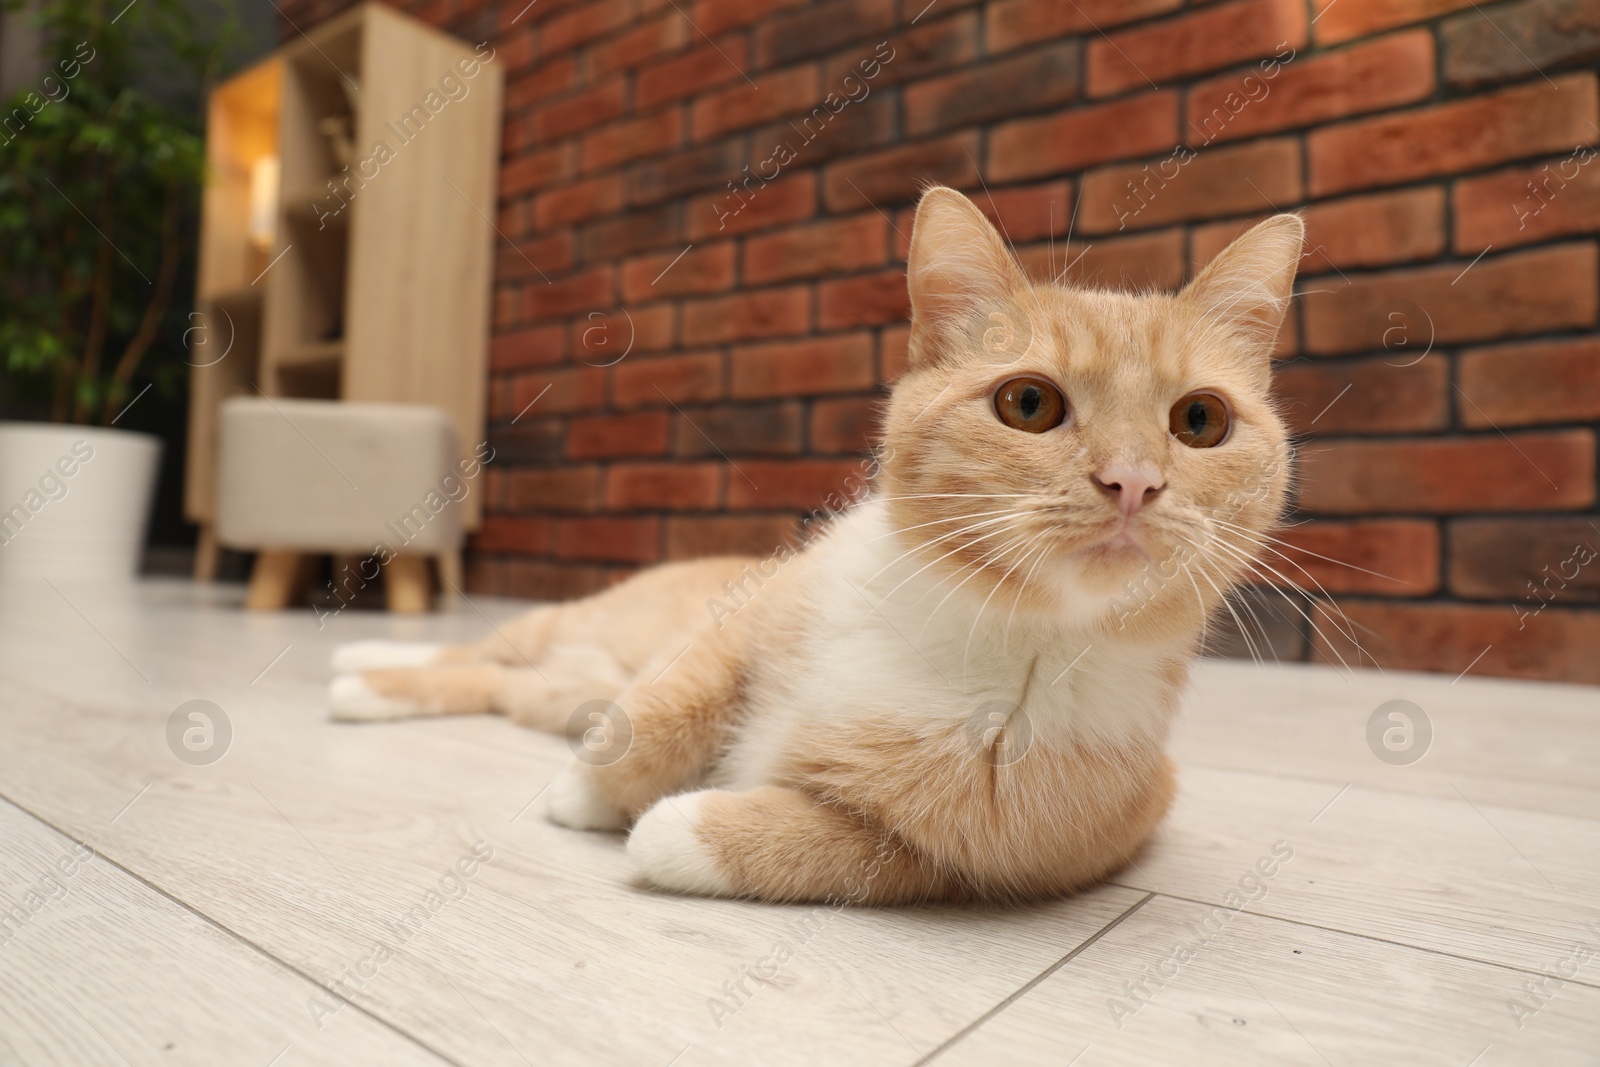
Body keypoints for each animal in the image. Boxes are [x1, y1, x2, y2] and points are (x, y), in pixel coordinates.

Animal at [328, 187, 1299, 908]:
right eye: (1029, 403)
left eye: (1201, 420)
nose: (1132, 482)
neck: (992, 632)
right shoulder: (736, 626)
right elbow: (654, 718)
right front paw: (586, 792)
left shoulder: (991, 856)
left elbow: (849, 851)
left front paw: (676, 827)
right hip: (580, 625)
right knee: (481, 649)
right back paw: (365, 662)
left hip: (550, 684)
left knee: (492, 679)